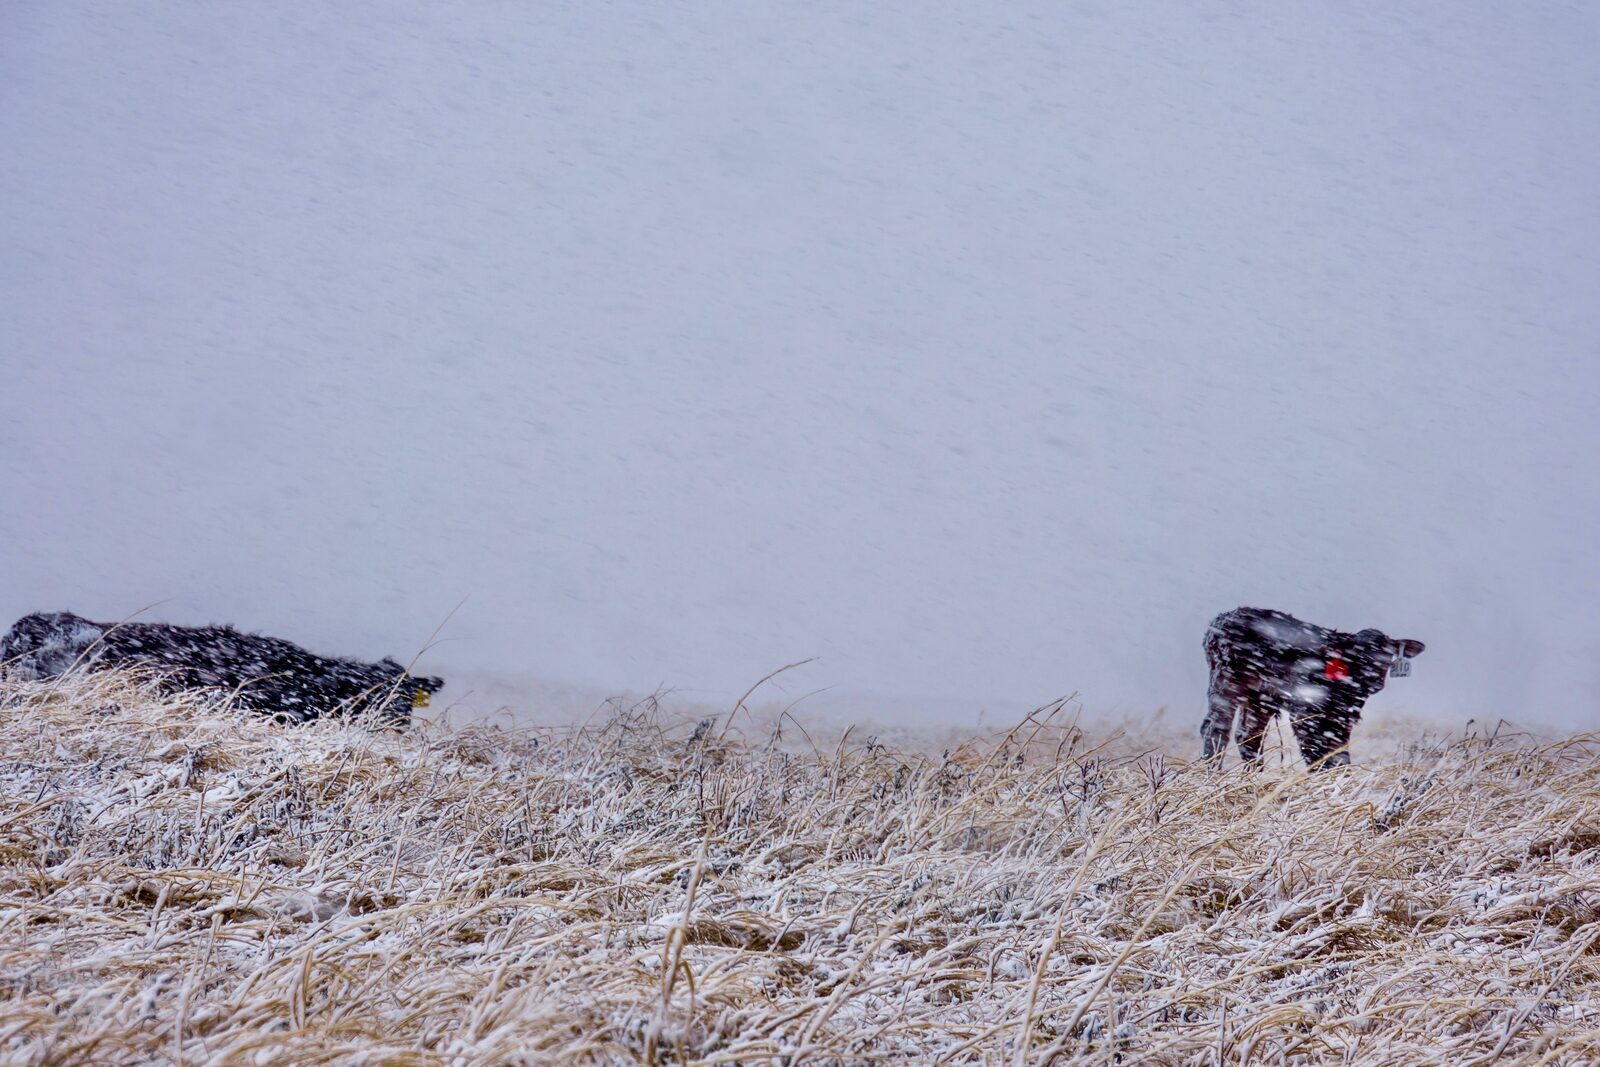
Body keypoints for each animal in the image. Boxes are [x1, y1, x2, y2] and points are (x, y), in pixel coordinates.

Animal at [1202, 607, 1423, 770]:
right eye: (1356, 656)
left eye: (1388, 657)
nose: (1375, 681)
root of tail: (1222, 619)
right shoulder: (1305, 711)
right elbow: (1314, 752)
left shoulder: (1343, 717)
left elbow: (1339, 753)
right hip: (1226, 681)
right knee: (1215, 729)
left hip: (1260, 696)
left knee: (1248, 735)